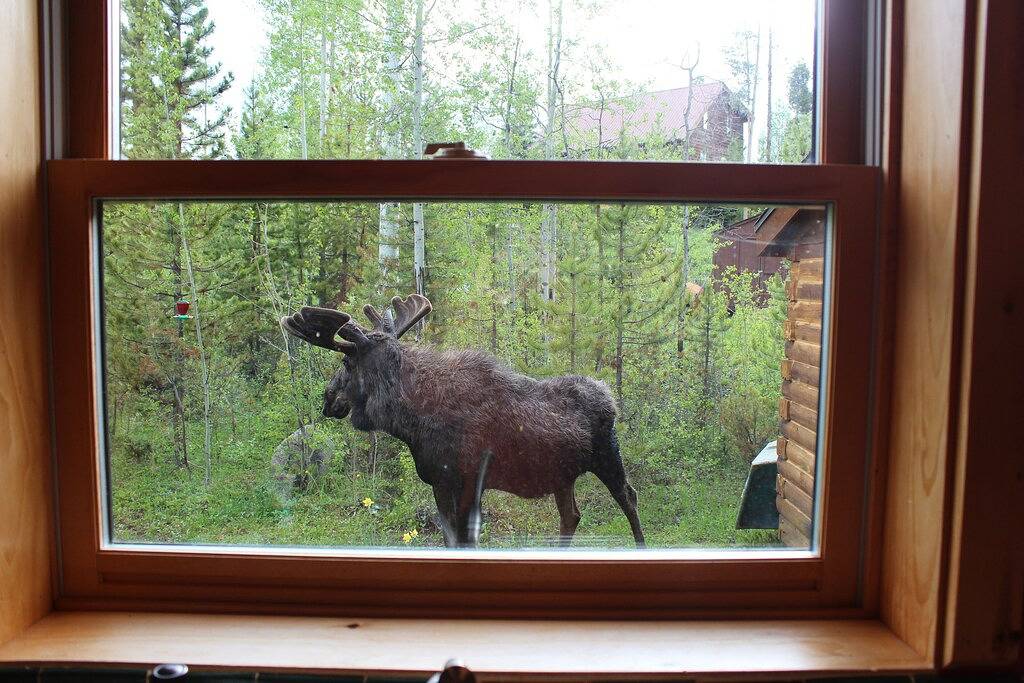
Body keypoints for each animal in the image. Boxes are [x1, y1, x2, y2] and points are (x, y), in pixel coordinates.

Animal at [280, 294, 645, 548]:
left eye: (347, 361)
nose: (328, 398)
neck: (412, 421)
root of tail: (610, 397)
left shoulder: (465, 480)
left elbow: (465, 540)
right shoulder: (443, 483)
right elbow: (452, 540)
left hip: (607, 457)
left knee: (629, 497)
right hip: (562, 474)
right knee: (572, 516)